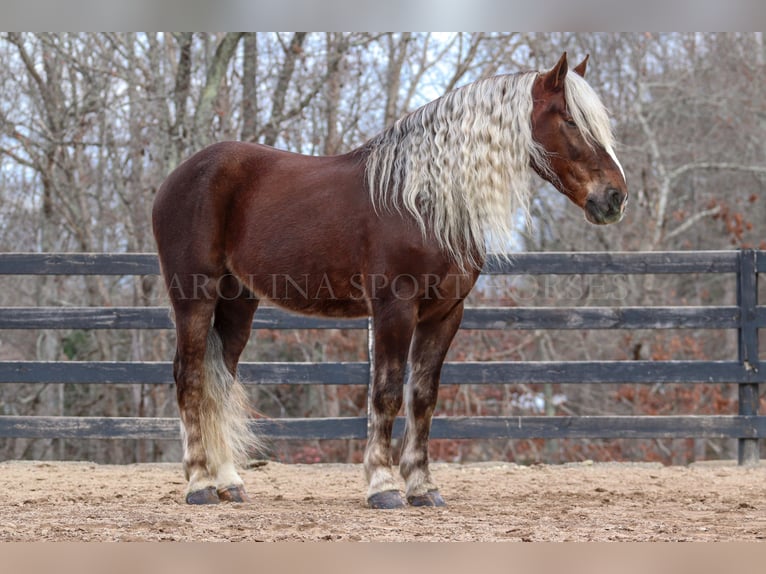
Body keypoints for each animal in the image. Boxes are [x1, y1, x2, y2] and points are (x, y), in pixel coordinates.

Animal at [152, 54, 632, 510]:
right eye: (570, 120)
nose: (615, 197)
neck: (423, 201)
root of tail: (178, 176)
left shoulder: (445, 315)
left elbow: (422, 397)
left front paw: (422, 487)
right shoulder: (393, 309)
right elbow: (384, 394)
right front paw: (382, 487)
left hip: (238, 302)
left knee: (219, 381)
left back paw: (229, 483)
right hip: (194, 295)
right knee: (190, 376)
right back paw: (199, 483)